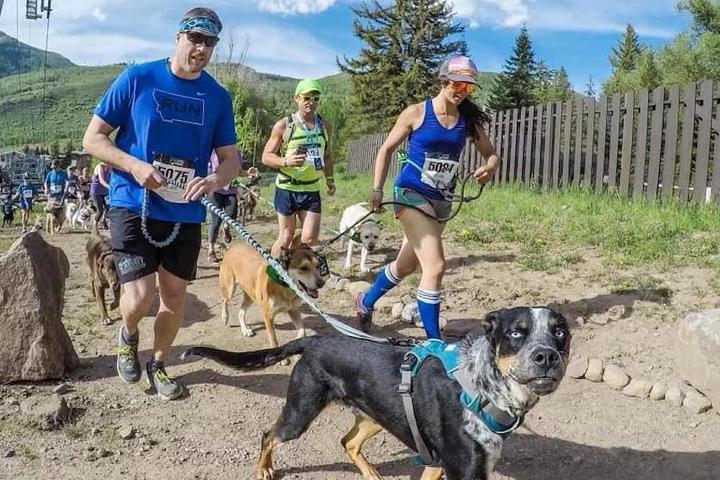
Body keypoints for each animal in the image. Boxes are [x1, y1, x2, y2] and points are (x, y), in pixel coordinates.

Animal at [183, 308, 572, 480]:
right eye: (516, 333)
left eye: (560, 333)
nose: (546, 356)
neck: (481, 386)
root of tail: (316, 339)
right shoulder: (463, 470)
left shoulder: (439, 463)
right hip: (300, 412)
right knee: (269, 434)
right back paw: (264, 469)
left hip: (377, 413)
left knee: (348, 442)